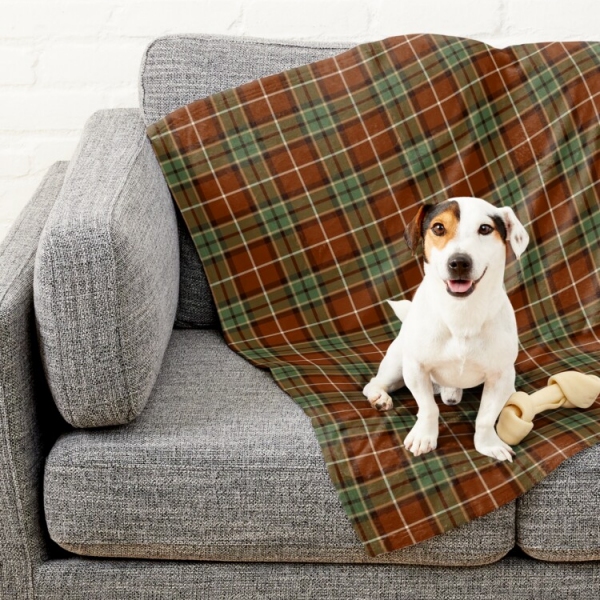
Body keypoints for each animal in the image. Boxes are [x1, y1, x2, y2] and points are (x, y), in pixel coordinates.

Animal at [364, 198, 528, 464]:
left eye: (485, 228)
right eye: (439, 228)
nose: (459, 262)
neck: (461, 314)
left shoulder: (500, 376)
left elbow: (485, 417)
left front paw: (488, 444)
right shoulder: (416, 368)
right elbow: (428, 408)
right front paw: (424, 437)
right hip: (397, 365)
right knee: (373, 383)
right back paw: (380, 398)